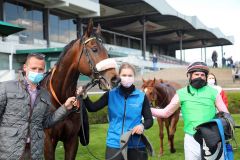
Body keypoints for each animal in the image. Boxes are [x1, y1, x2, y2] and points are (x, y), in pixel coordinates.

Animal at [42, 19, 120, 159]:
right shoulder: (48, 142)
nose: (115, 80)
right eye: (94, 49)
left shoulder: (72, 140)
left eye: (107, 53)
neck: (61, 102)